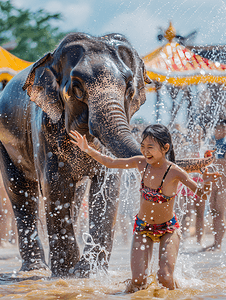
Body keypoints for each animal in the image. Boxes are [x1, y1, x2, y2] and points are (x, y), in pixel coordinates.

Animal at [0, 31, 213, 278]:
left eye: (129, 88)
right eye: (76, 87)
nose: (211, 154)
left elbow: (108, 185)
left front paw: (88, 272)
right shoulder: (43, 128)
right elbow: (55, 185)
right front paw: (67, 272)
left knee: (76, 195)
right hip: (5, 142)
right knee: (20, 191)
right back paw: (35, 268)